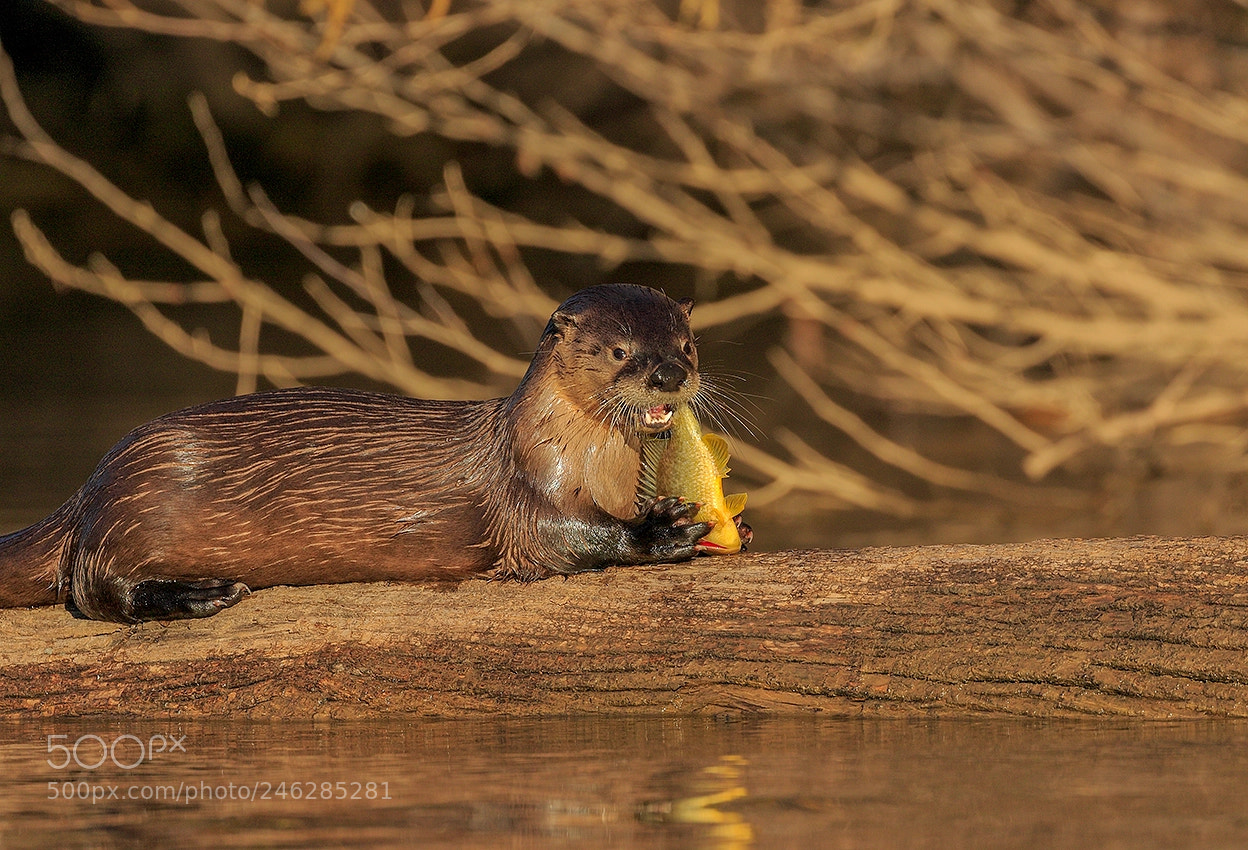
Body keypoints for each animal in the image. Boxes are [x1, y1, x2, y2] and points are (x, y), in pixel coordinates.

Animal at [0, 285, 726, 623]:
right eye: (620, 350)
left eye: (687, 344)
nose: (669, 375)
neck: (586, 464)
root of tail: (91, 485)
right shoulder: (528, 496)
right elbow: (566, 536)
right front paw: (660, 530)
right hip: (138, 502)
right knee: (94, 588)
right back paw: (198, 595)